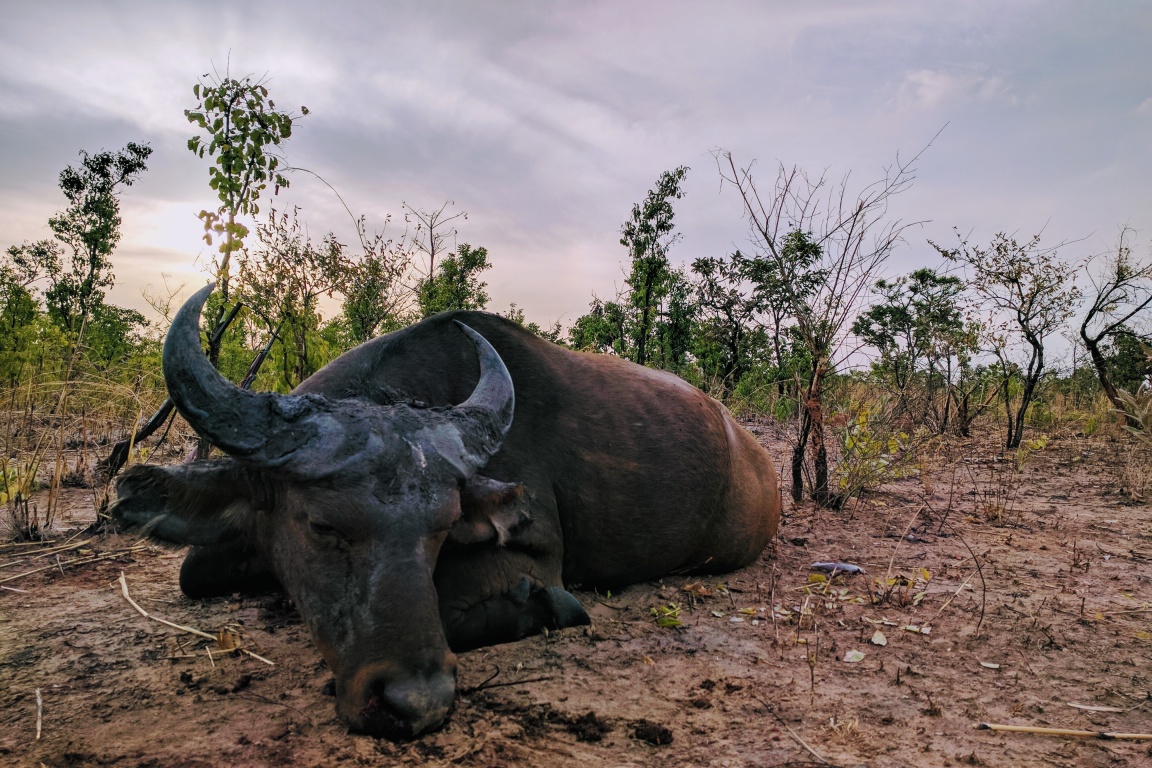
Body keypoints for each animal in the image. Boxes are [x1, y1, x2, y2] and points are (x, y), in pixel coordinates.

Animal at [112, 282, 778, 736]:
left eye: (442, 529)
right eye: (322, 526)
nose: (414, 702)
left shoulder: (535, 561)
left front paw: (548, 608)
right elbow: (192, 571)